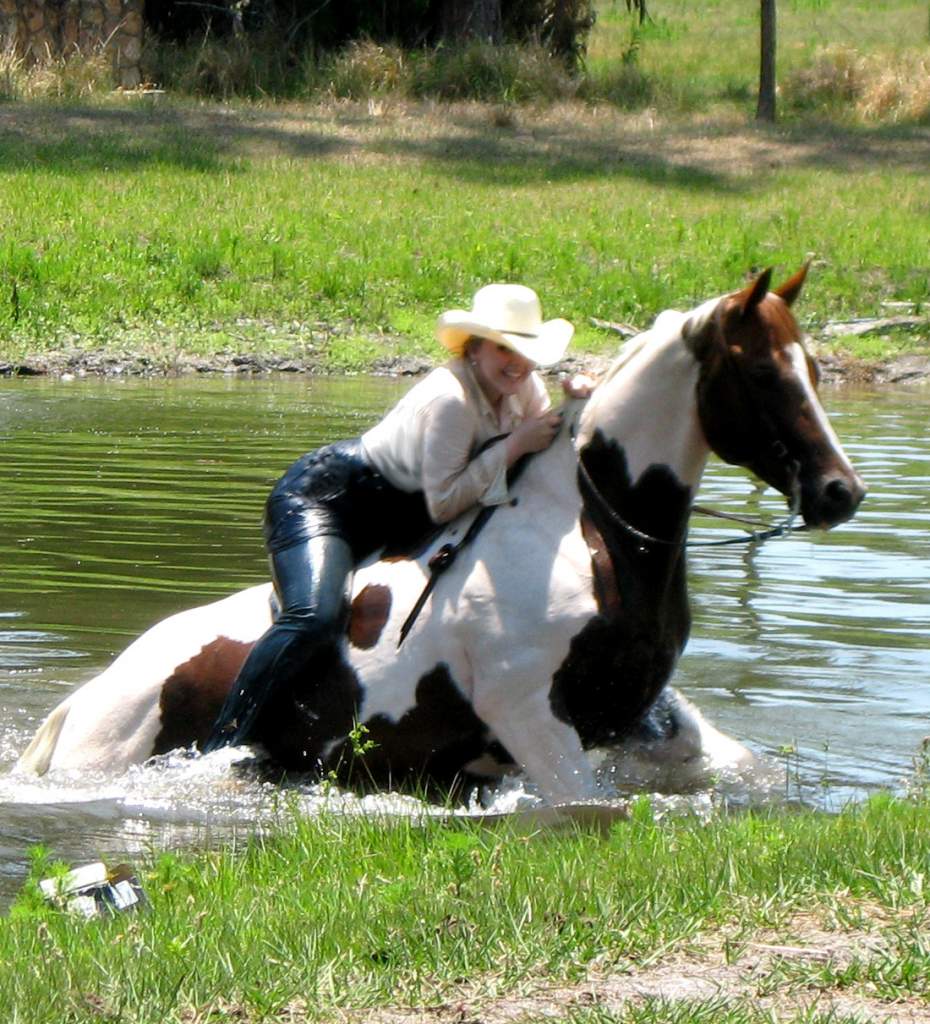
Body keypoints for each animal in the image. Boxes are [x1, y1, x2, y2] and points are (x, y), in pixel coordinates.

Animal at [16, 268, 864, 802]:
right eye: (763, 373)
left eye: (816, 370)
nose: (840, 492)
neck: (593, 531)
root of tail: (87, 700)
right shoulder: (533, 719)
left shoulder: (635, 717)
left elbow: (737, 765)